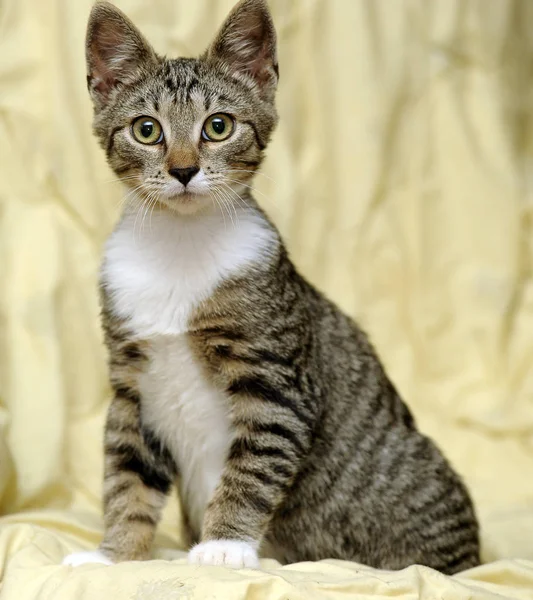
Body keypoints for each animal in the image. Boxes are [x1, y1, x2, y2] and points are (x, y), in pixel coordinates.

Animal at [62, 0, 478, 572]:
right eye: (147, 130)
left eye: (218, 126)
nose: (184, 170)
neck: (180, 245)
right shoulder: (130, 383)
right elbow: (127, 477)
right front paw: (114, 555)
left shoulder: (277, 380)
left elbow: (253, 466)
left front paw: (224, 545)